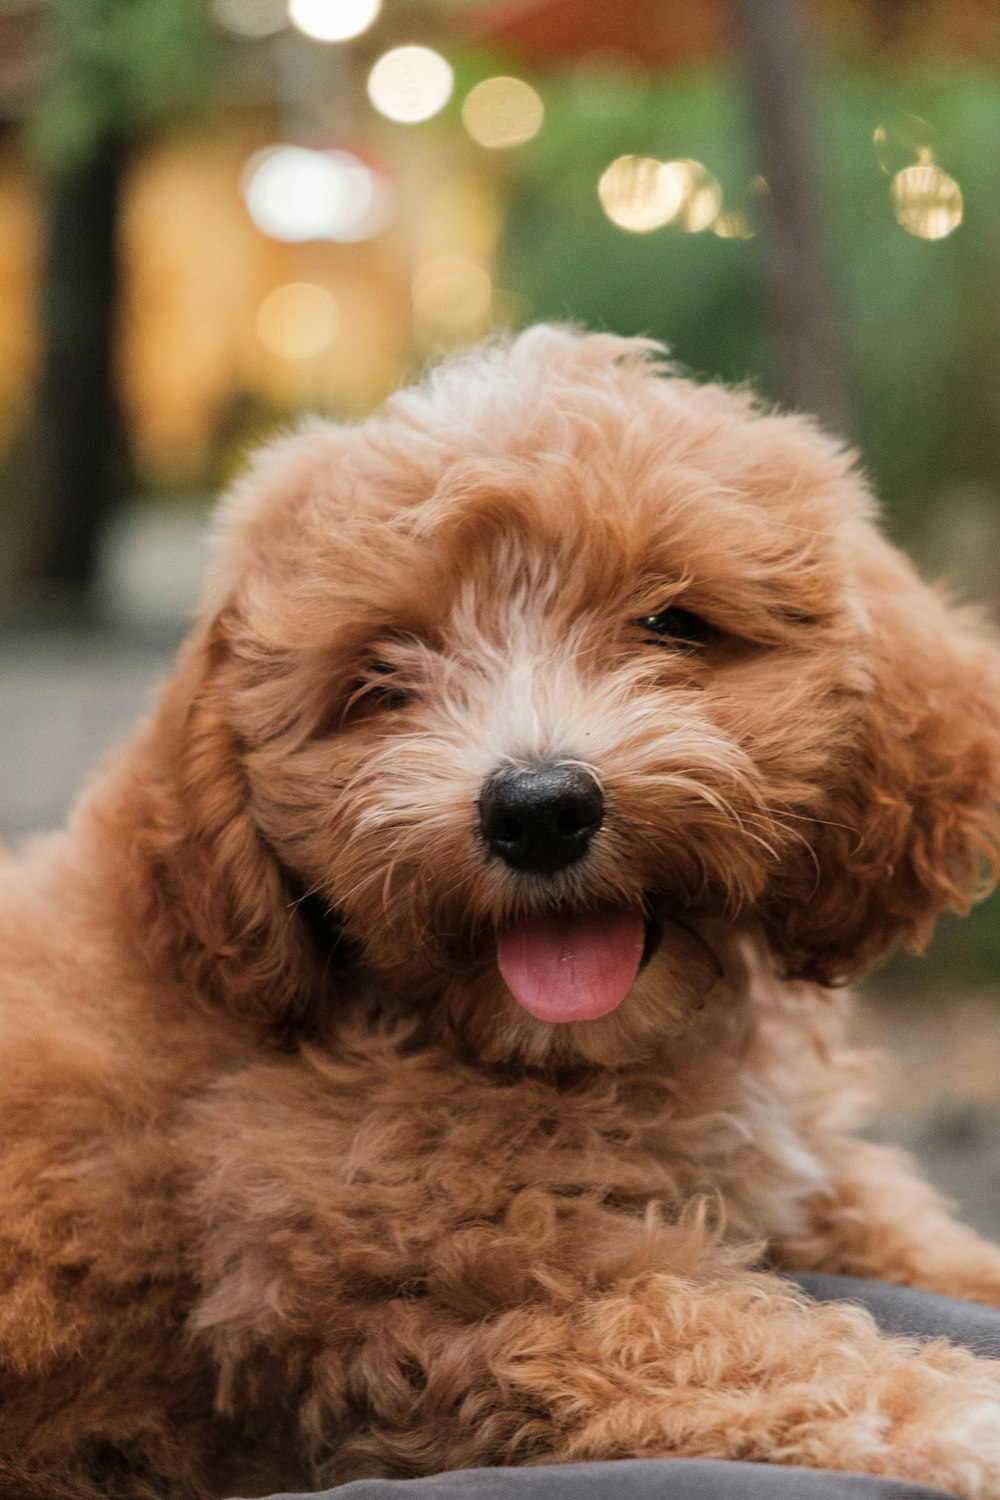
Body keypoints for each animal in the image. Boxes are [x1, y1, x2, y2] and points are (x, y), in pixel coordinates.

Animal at [1, 331, 1000, 1500]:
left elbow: (911, 1239)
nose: (537, 808)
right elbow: (723, 1342)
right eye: (382, 679)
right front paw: (961, 1418)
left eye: (673, 623)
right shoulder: (448, 1293)